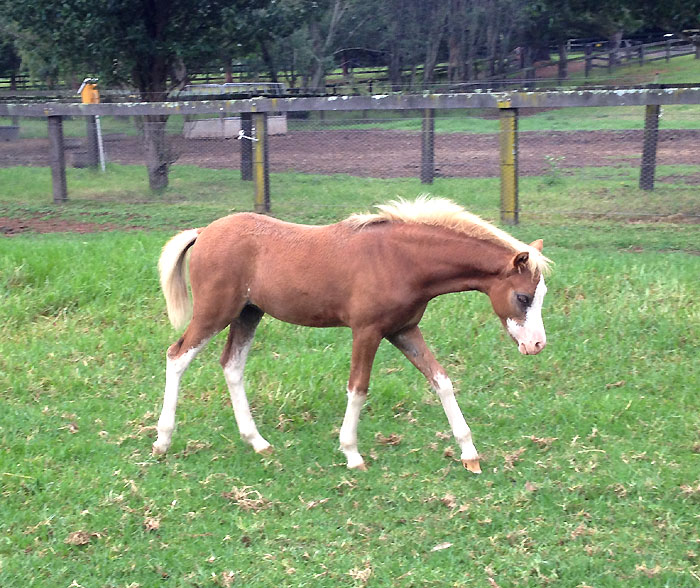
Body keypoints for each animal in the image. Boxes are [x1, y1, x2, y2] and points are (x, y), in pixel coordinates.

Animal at [153, 196, 551, 474]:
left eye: (543, 294)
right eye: (522, 297)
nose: (536, 345)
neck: (401, 260)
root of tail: (203, 232)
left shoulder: (404, 330)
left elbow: (441, 381)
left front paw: (469, 454)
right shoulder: (367, 331)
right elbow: (358, 388)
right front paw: (352, 454)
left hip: (249, 313)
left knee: (232, 365)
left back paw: (258, 442)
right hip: (215, 312)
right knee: (177, 355)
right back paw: (162, 441)